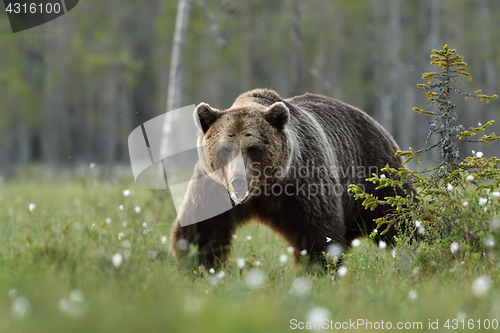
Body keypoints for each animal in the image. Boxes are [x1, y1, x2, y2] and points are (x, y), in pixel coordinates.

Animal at [170, 89, 412, 270]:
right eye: (225, 149)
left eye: (253, 149)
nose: (238, 180)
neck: (262, 191)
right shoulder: (214, 188)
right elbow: (202, 228)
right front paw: (198, 265)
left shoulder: (303, 184)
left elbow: (318, 233)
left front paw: (318, 270)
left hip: (375, 175)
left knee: (400, 217)